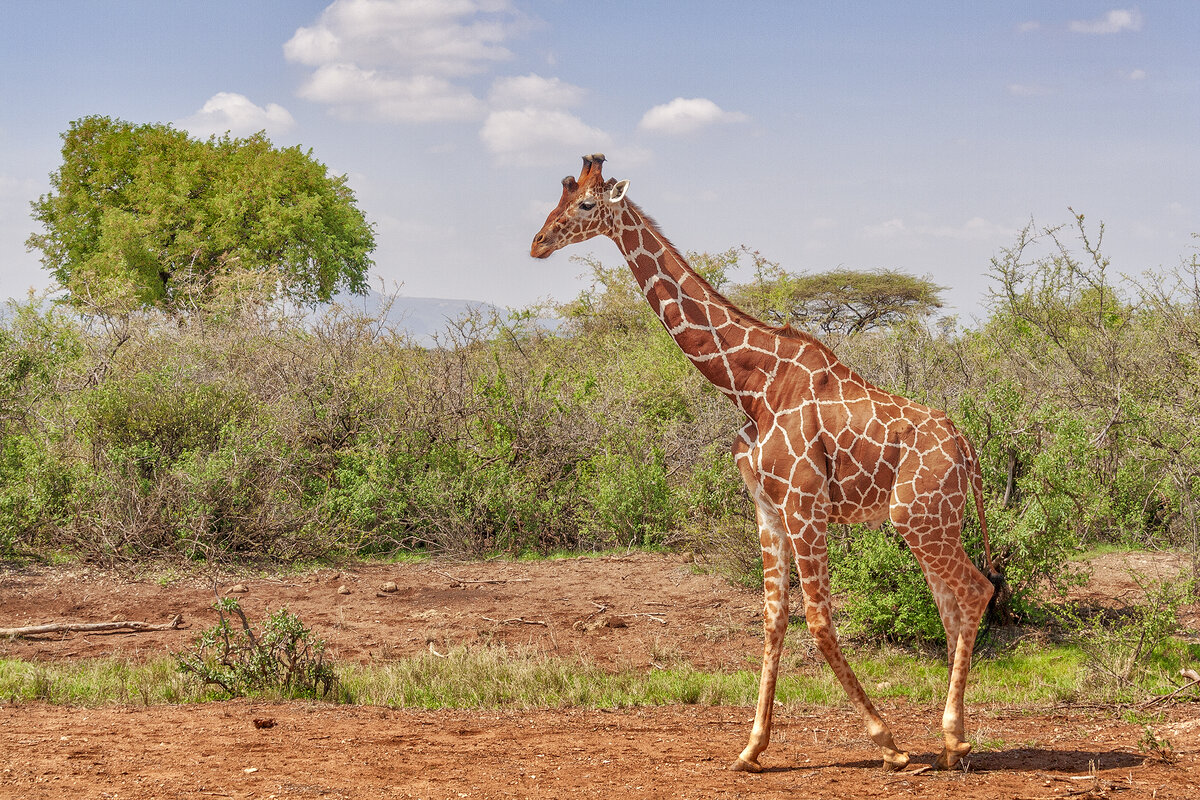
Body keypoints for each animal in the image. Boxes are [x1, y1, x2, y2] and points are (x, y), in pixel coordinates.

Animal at [535, 153, 1003, 772]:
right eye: (558, 198)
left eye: (586, 203)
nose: (538, 243)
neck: (751, 385)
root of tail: (968, 449)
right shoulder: (767, 505)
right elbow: (773, 617)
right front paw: (752, 747)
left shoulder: (805, 504)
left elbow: (820, 621)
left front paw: (888, 742)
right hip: (936, 520)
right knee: (952, 603)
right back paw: (954, 743)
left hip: (918, 517)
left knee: (974, 591)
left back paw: (950, 735)